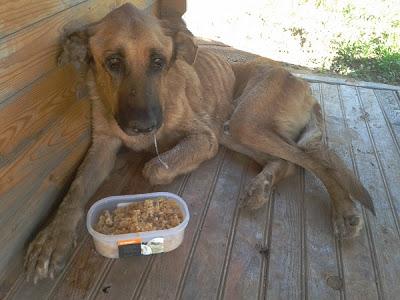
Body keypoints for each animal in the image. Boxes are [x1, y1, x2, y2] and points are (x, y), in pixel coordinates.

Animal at [24, 3, 376, 282]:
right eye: (113, 63)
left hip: (242, 123)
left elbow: (154, 168)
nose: (143, 127)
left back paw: (345, 211)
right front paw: (52, 238)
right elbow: (75, 190)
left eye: (158, 62)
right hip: (233, 131)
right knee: (288, 162)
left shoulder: (205, 138)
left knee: (313, 160)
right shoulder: (102, 147)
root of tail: (302, 82)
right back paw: (261, 187)